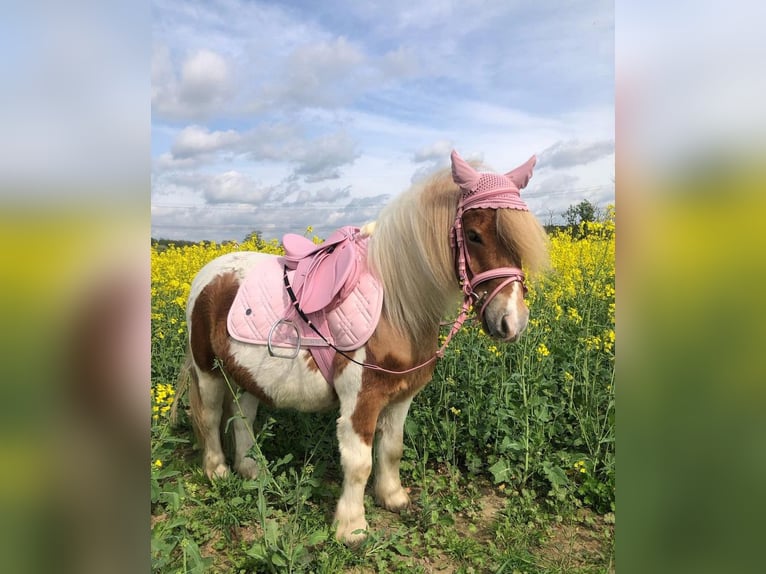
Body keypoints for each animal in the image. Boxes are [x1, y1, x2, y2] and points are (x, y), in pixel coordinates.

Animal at [177, 151, 548, 548]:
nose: (512, 322)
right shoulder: (361, 401)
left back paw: (250, 469)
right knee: (210, 415)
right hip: (208, 370)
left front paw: (393, 498)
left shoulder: (402, 397)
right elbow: (359, 462)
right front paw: (352, 527)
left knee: (242, 415)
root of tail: (209, 274)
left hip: (246, 374)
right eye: (475, 235)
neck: (397, 307)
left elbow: (392, 448)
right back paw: (217, 471)